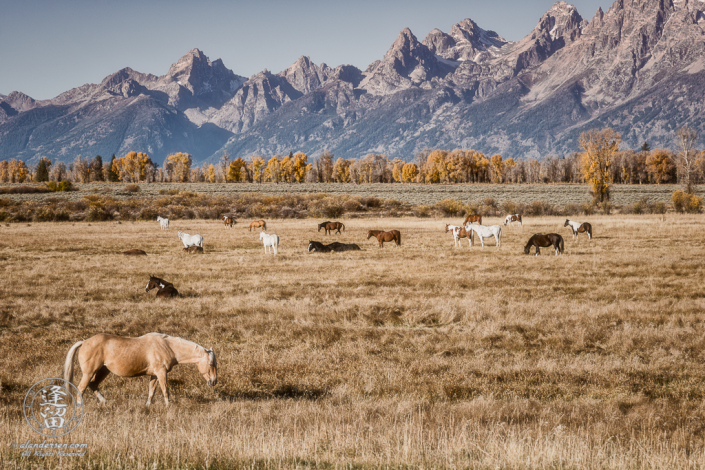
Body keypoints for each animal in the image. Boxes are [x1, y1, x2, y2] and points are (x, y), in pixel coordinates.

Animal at [63, 332, 217, 406]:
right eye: (210, 364)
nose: (214, 382)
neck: (167, 346)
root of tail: (84, 342)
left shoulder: (154, 375)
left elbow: (151, 391)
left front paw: (148, 405)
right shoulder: (161, 373)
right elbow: (165, 390)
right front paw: (168, 406)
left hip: (103, 371)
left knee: (93, 385)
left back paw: (105, 402)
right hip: (89, 372)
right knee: (81, 388)